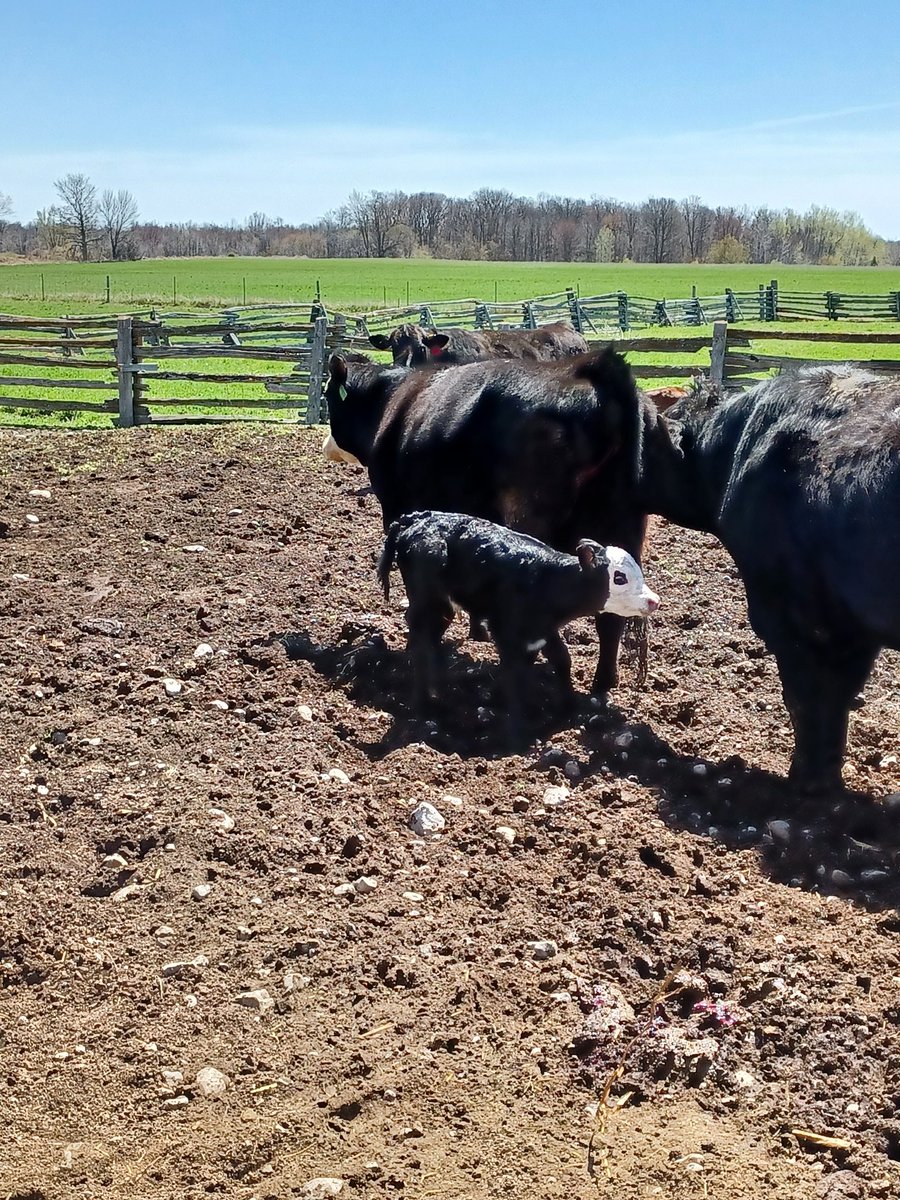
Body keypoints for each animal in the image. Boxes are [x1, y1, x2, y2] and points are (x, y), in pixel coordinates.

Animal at [325, 346, 658, 694]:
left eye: (327, 395)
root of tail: (596, 370)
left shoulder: (395, 505)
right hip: (622, 528)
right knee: (611, 618)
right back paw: (601, 685)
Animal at [377, 510, 659, 739]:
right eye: (619, 577)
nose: (654, 600)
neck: (546, 581)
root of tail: (414, 519)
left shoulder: (542, 630)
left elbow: (560, 660)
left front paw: (566, 708)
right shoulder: (507, 635)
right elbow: (515, 676)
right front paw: (517, 732)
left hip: (442, 606)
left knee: (431, 639)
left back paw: (440, 693)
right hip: (427, 601)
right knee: (421, 640)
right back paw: (425, 704)